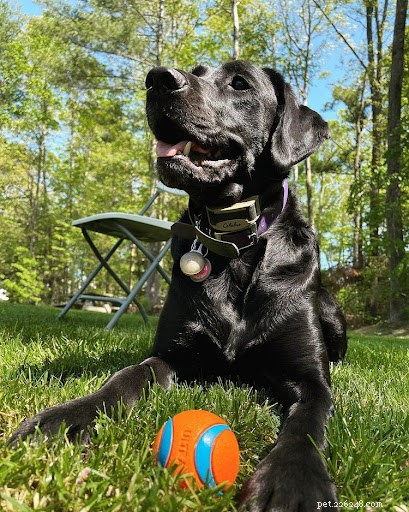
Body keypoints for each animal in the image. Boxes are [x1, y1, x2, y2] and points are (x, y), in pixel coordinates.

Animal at [10, 61, 344, 512]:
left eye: (240, 83)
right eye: (199, 70)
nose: (158, 79)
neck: (235, 245)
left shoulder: (310, 380)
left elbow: (306, 424)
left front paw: (294, 481)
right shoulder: (172, 355)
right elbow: (124, 377)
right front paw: (66, 418)